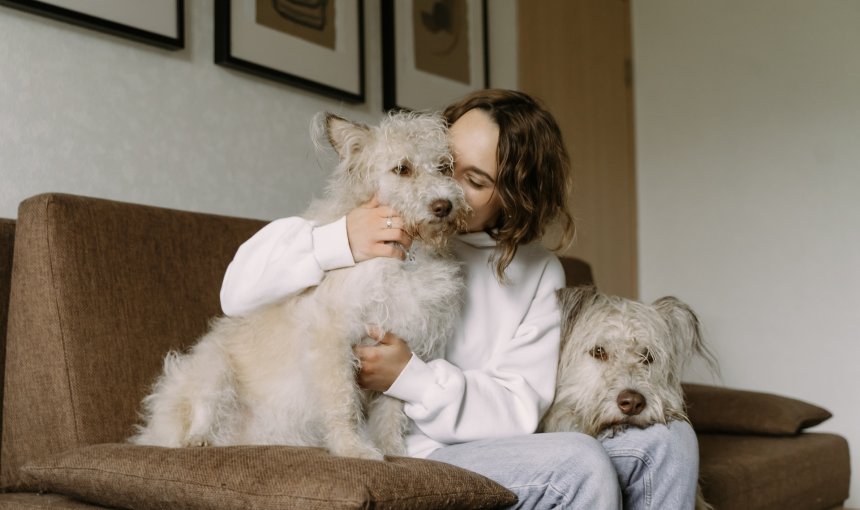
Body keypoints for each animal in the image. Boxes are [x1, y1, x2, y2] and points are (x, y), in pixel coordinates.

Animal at [131, 109, 470, 460]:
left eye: (444, 167)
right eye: (402, 168)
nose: (444, 206)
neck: (407, 255)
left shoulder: (403, 346)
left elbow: (391, 413)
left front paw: (393, 451)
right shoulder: (332, 338)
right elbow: (342, 402)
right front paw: (352, 448)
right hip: (211, 366)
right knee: (200, 409)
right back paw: (197, 439)